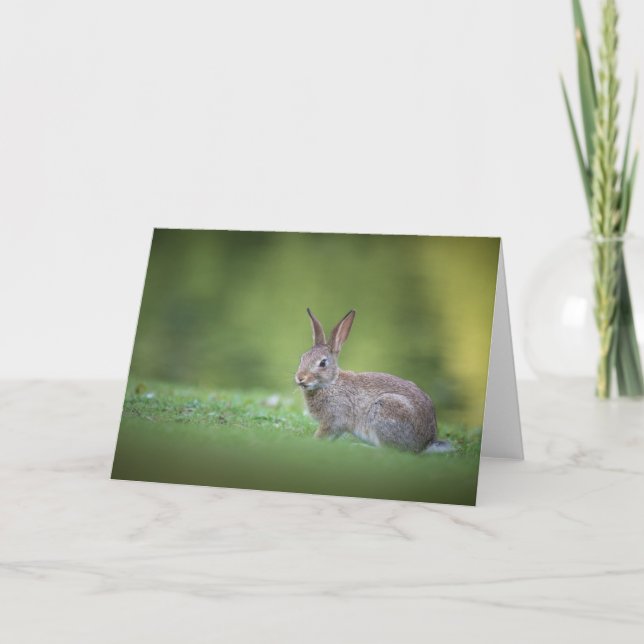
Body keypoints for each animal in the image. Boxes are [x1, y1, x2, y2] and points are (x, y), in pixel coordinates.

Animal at [295, 308, 452, 454]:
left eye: (322, 363)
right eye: (302, 358)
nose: (300, 378)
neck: (331, 384)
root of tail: (426, 443)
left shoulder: (334, 419)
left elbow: (324, 433)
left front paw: (311, 442)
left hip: (386, 411)